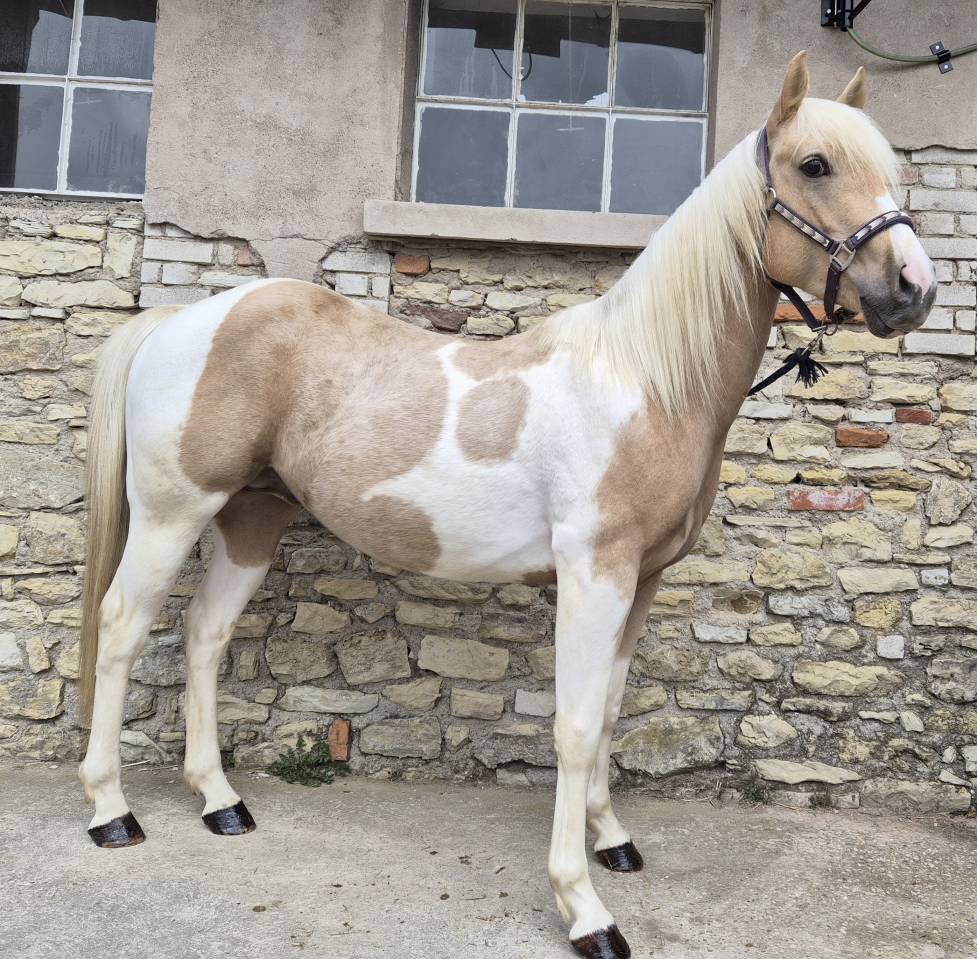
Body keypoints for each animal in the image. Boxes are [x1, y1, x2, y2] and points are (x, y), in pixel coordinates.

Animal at [77, 53, 935, 959]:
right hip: (172, 514)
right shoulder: (593, 574)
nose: (914, 288)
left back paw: (220, 801)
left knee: (205, 635)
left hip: (252, 517)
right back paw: (111, 812)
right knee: (122, 628)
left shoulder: (640, 581)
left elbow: (610, 710)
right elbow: (576, 725)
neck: (644, 380)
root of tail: (184, 318)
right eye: (814, 165)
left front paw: (611, 838)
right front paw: (584, 907)